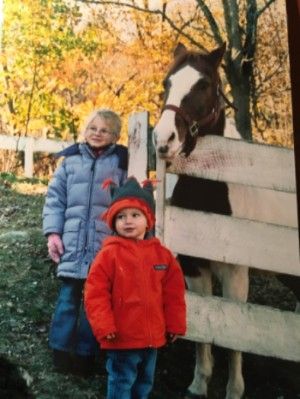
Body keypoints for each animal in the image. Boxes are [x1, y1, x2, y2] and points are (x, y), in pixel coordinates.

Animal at [154, 42, 298, 398]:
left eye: (204, 84)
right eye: (167, 82)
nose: (163, 140)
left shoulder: (236, 274)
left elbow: (236, 337)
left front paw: (234, 389)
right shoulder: (194, 268)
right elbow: (203, 328)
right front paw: (199, 382)